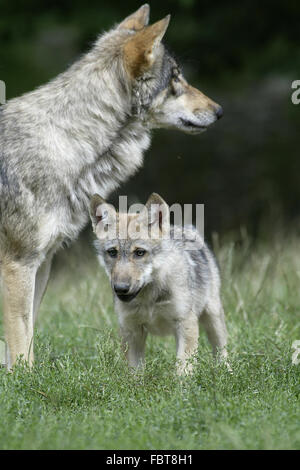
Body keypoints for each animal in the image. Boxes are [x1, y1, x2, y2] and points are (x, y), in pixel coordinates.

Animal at [0, 5, 223, 370]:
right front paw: (23, 379)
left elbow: (26, 333)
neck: (65, 142)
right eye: (175, 78)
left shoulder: (41, 263)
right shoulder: (18, 263)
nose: (219, 111)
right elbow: (20, 340)